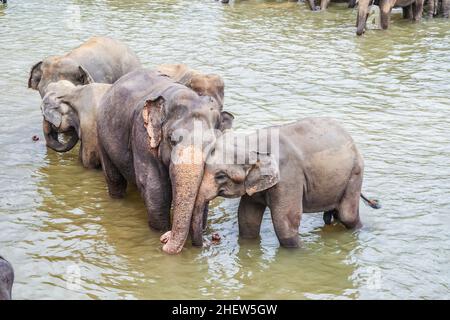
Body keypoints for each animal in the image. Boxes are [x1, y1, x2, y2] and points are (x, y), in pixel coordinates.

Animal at [96, 69, 234, 254]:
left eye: (212, 145)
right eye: (171, 139)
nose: (213, 239)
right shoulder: (142, 134)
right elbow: (154, 186)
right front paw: (160, 231)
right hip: (101, 134)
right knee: (114, 178)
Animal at [162, 117, 380, 250]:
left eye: (221, 176)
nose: (211, 240)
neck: (251, 141)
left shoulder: (288, 177)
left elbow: (286, 223)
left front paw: (300, 252)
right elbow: (247, 218)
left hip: (355, 173)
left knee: (347, 215)